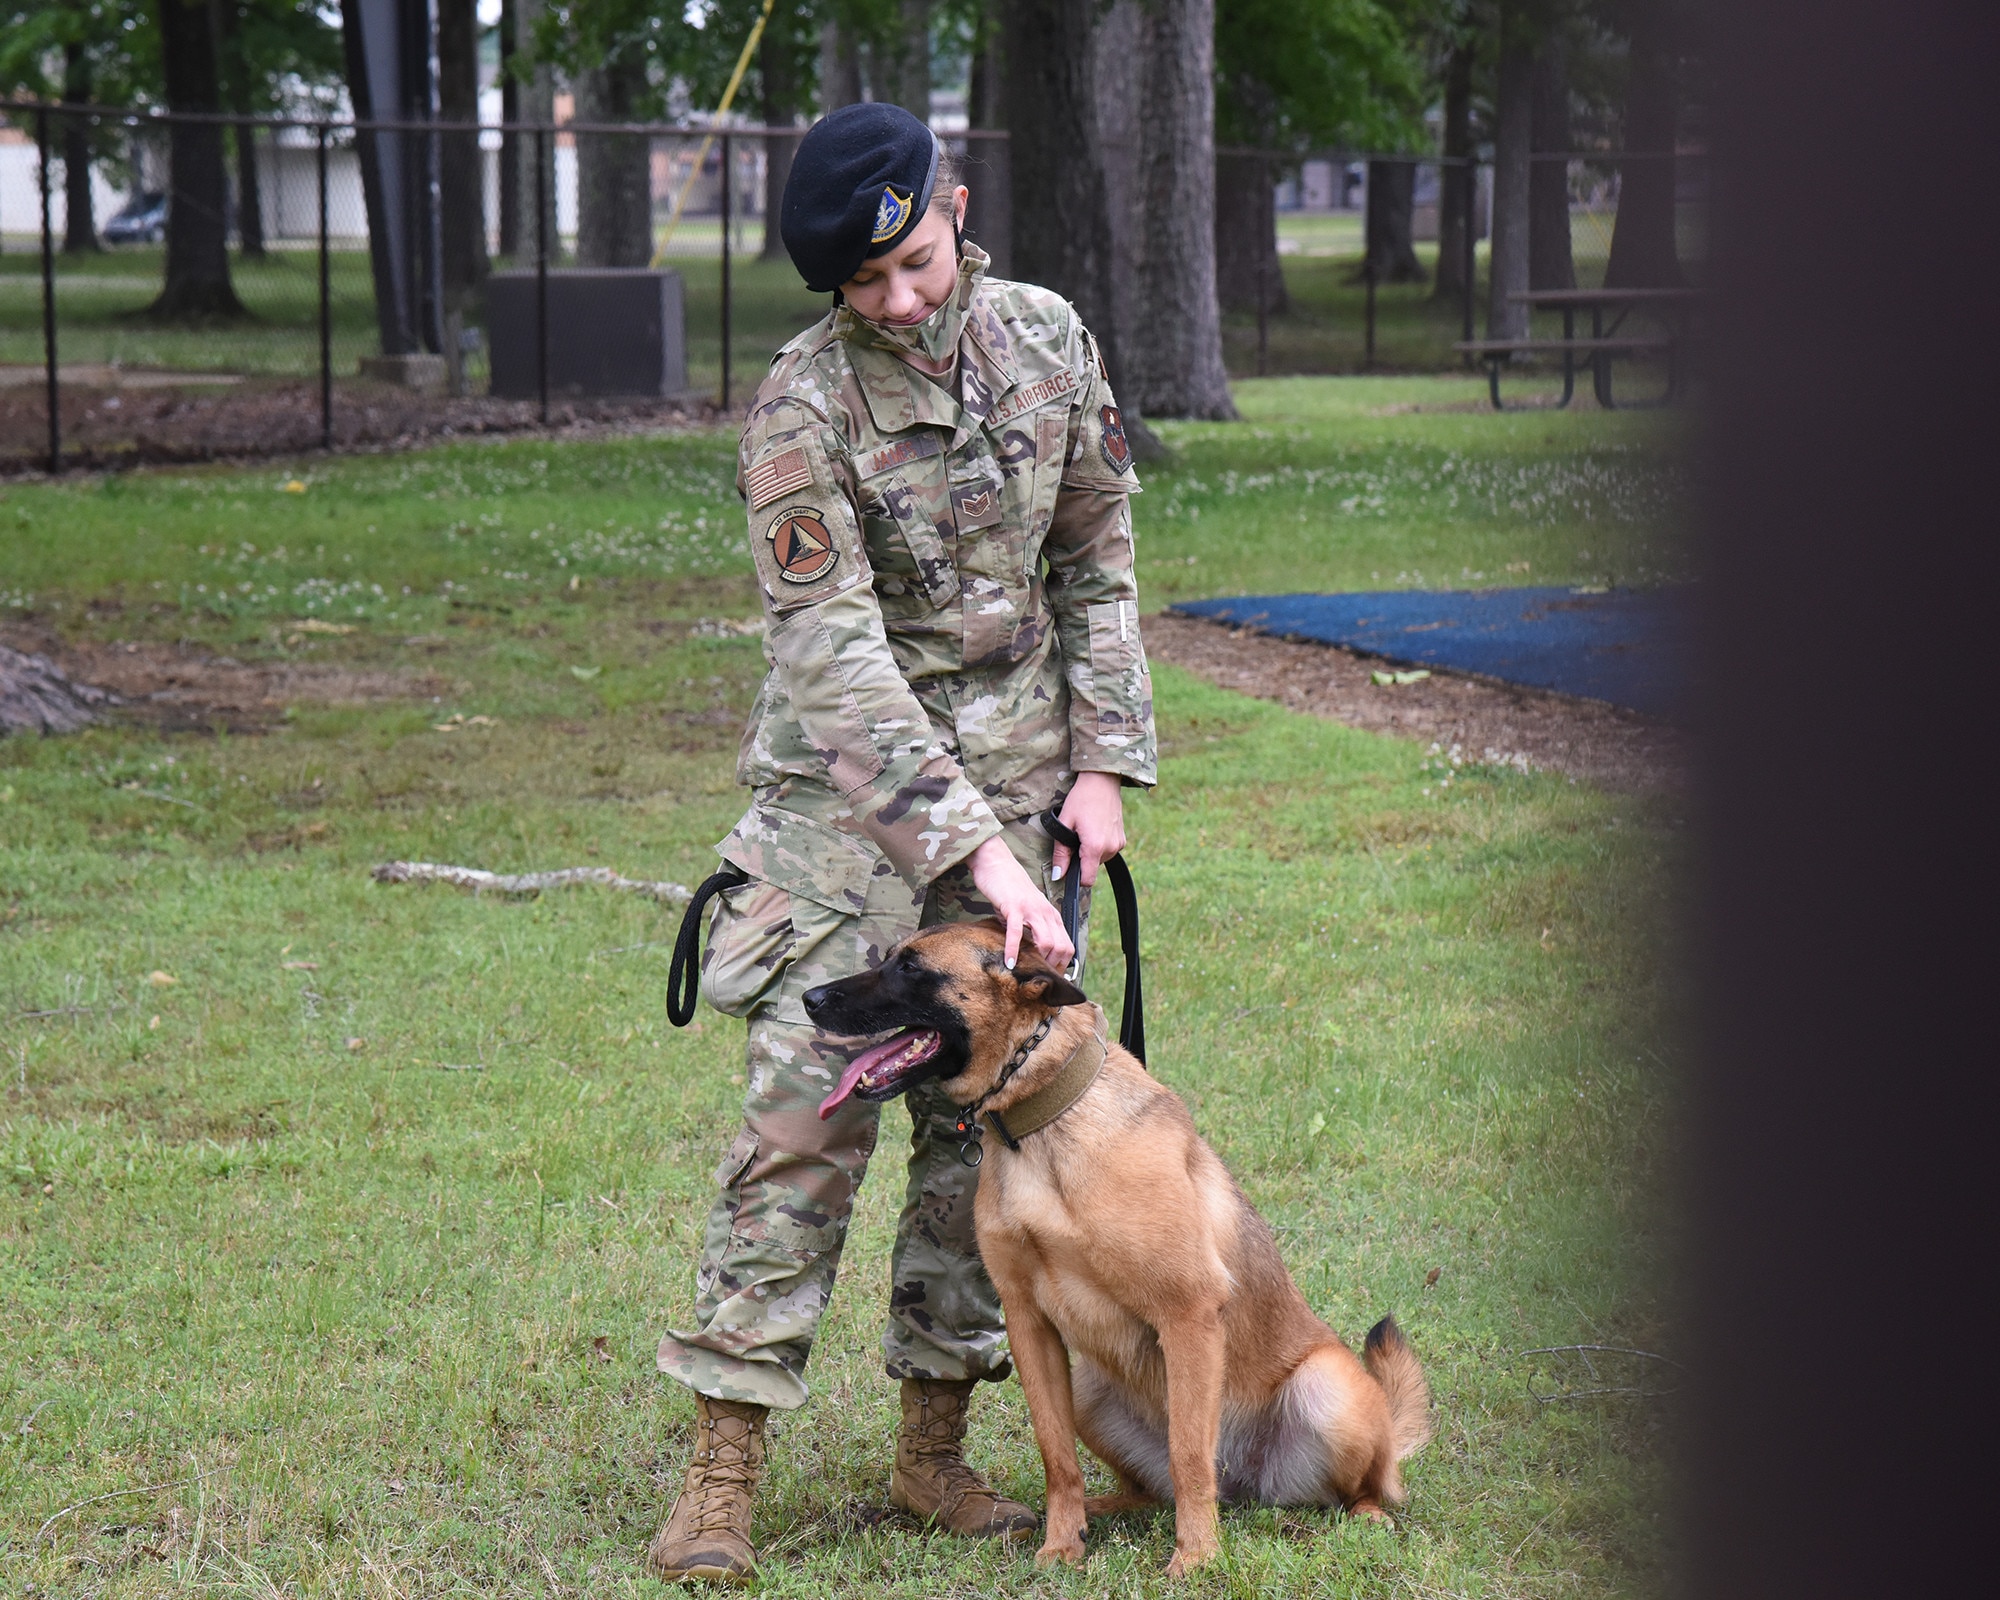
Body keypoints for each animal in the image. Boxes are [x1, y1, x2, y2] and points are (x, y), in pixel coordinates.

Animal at [804, 920, 1432, 1584]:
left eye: (911, 968)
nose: (809, 998)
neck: (1043, 1126)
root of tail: (1249, 1485)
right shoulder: (1029, 1325)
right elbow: (1057, 1454)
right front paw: (1062, 1545)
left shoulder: (1188, 1314)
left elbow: (1189, 1454)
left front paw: (1197, 1557)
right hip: (1090, 1390)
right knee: (1150, 1489)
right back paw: (1102, 1509)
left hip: (1327, 1389)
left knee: (1361, 1487)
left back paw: (1363, 1514)